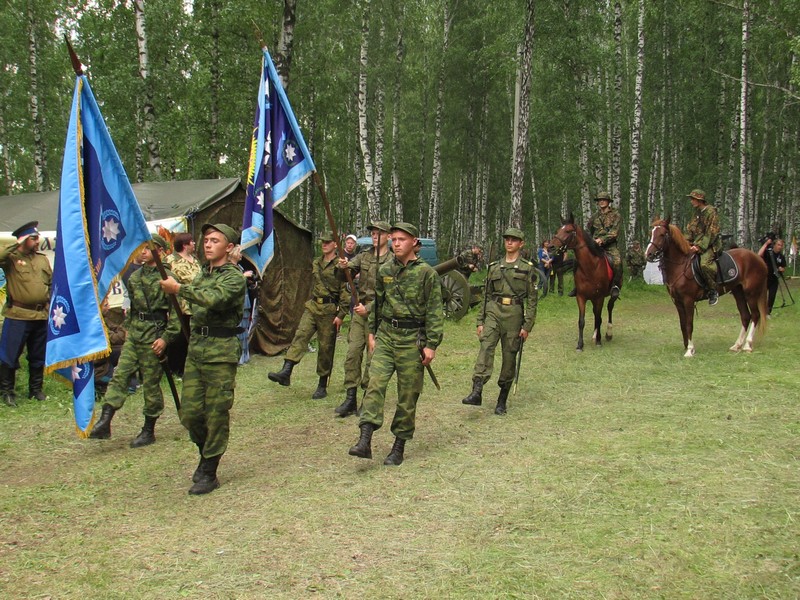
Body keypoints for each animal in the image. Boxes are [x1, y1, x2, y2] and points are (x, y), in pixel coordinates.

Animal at [552, 213, 620, 352]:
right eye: (558, 230)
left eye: (568, 231)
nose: (551, 246)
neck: (590, 268)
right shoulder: (581, 297)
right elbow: (582, 321)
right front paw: (580, 345)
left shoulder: (600, 297)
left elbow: (599, 318)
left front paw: (599, 340)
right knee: (596, 313)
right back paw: (595, 334)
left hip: (610, 294)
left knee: (609, 307)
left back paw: (608, 333)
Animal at [644, 217, 768, 354]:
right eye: (651, 233)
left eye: (662, 234)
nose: (648, 254)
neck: (680, 266)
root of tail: (759, 258)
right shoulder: (678, 302)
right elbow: (682, 324)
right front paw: (687, 346)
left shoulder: (688, 300)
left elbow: (689, 324)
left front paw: (690, 350)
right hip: (738, 292)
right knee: (745, 316)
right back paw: (737, 345)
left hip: (751, 293)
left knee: (755, 315)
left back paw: (747, 345)